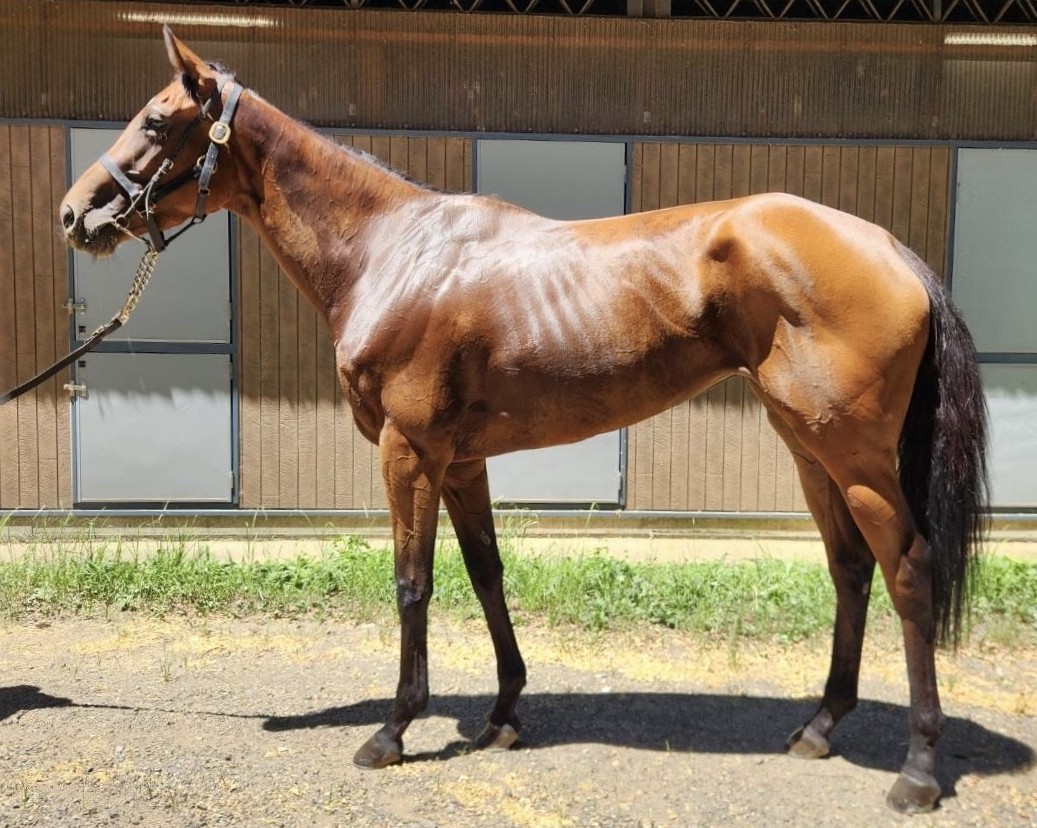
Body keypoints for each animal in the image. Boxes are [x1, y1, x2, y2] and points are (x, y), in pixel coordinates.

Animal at [59, 28, 987, 814]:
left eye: (156, 119)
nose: (76, 213)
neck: (391, 253)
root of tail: (889, 249)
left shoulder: (408, 452)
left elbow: (413, 583)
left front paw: (392, 731)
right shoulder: (461, 460)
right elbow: (486, 574)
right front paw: (502, 714)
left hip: (853, 455)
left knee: (906, 570)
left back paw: (915, 770)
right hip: (807, 446)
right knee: (848, 568)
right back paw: (819, 727)